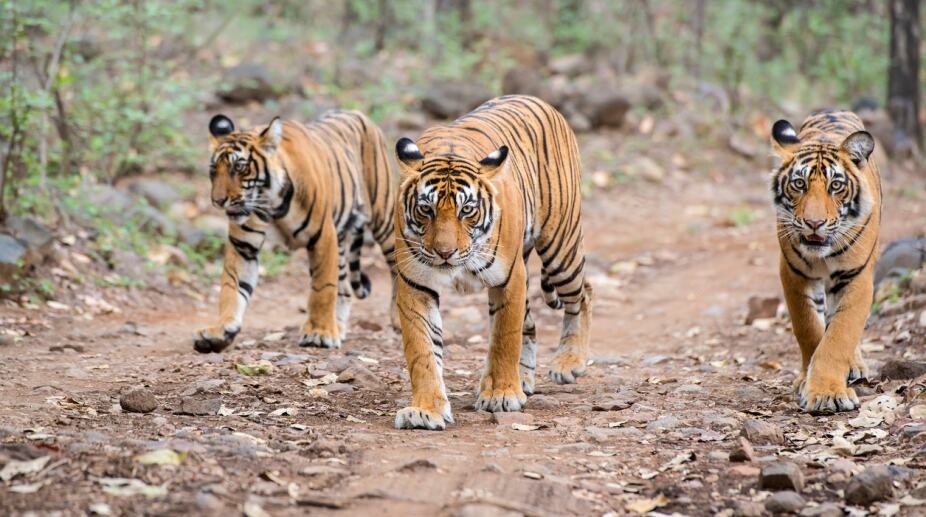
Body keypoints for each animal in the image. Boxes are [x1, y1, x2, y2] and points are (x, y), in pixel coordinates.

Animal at [193, 110, 398, 353]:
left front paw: (319, 333)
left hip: (384, 219)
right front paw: (220, 331)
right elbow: (231, 287)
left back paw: (396, 320)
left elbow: (322, 288)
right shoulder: (243, 246)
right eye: (213, 170)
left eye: (239, 168)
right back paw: (338, 326)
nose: (218, 201)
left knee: (396, 268)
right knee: (345, 287)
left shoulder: (323, 236)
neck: (271, 204)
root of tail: (357, 113)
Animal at [392, 95, 593, 430]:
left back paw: (569, 363)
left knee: (583, 293)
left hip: (560, 248)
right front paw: (425, 410)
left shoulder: (509, 278)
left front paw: (501, 395)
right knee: (531, 323)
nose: (444, 252)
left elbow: (504, 338)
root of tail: (537, 99)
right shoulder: (415, 284)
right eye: (426, 209)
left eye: (467, 210)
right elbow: (422, 351)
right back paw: (524, 378)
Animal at [770, 109, 881, 413]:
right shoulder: (793, 274)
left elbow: (839, 335)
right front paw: (807, 383)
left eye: (836, 186)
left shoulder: (856, 277)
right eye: (799, 184)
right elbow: (808, 328)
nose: (814, 223)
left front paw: (827, 393)